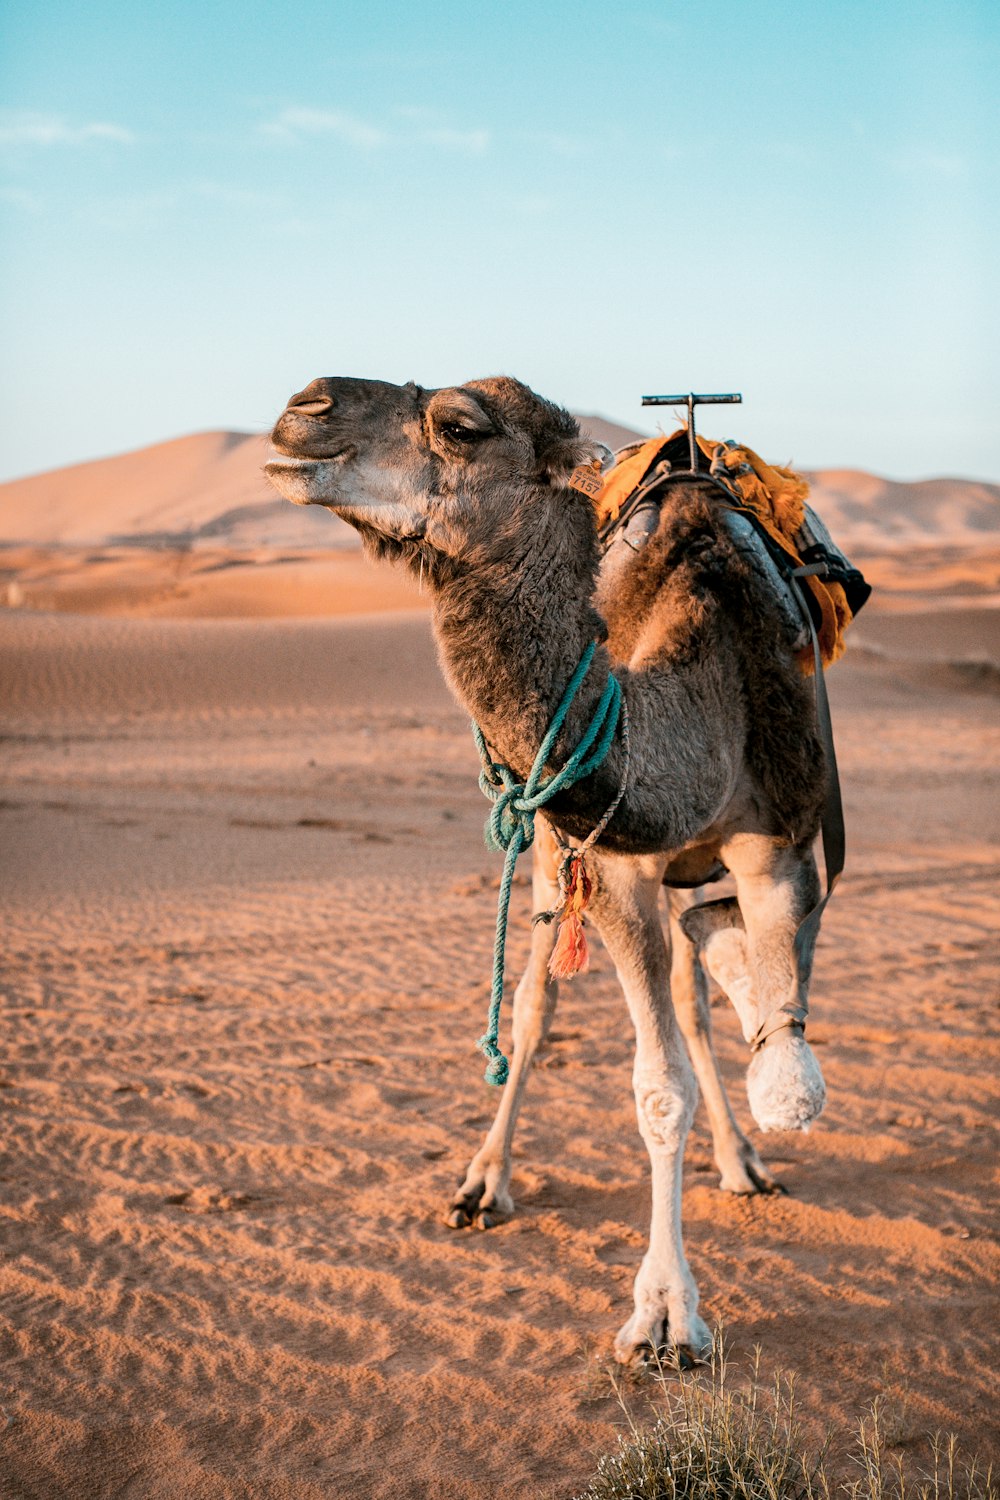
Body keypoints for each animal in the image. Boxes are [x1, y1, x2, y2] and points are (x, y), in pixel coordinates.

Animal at [263, 372, 827, 1362]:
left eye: (459, 425)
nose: (306, 406)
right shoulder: (609, 865)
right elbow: (656, 1087)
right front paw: (665, 1314)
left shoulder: (780, 845)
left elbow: (759, 1032)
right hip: (550, 855)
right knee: (531, 1010)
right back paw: (483, 1182)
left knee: (689, 996)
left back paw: (743, 1160)